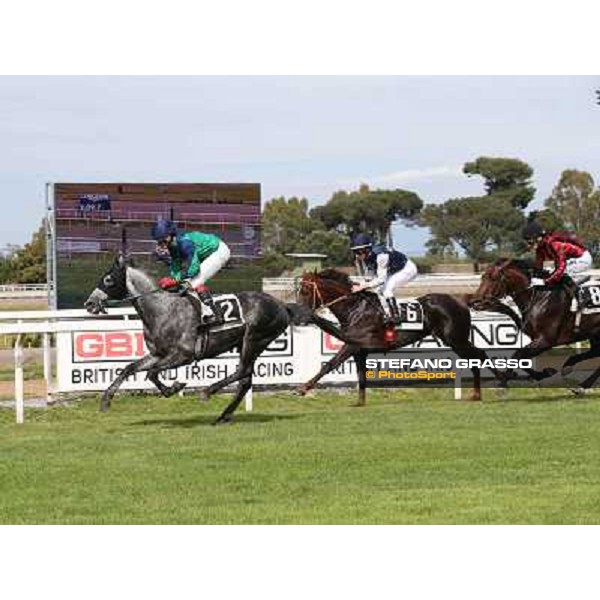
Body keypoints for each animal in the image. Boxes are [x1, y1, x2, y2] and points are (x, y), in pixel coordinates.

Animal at [84, 255, 300, 424]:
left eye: (108, 280)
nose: (89, 303)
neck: (163, 310)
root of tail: (282, 305)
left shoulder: (184, 355)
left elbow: (152, 373)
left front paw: (173, 387)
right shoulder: (158, 354)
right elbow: (130, 368)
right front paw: (106, 400)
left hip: (255, 339)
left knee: (243, 371)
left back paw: (207, 392)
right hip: (247, 344)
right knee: (245, 380)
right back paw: (222, 416)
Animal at [296, 270, 516, 406]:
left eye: (305, 290)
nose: (298, 313)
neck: (354, 309)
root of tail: (460, 299)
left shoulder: (352, 345)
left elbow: (330, 364)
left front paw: (303, 388)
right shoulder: (360, 350)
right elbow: (361, 376)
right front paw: (360, 402)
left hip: (455, 338)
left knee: (479, 354)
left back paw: (500, 383)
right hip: (454, 339)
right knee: (474, 358)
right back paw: (477, 393)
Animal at [478, 258, 600, 394]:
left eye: (493, 278)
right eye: (483, 276)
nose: (476, 302)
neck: (537, 298)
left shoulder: (545, 341)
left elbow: (517, 355)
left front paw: (502, 385)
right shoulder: (536, 339)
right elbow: (520, 358)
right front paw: (543, 373)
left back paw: (581, 384)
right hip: (595, 334)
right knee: (595, 352)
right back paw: (572, 371)